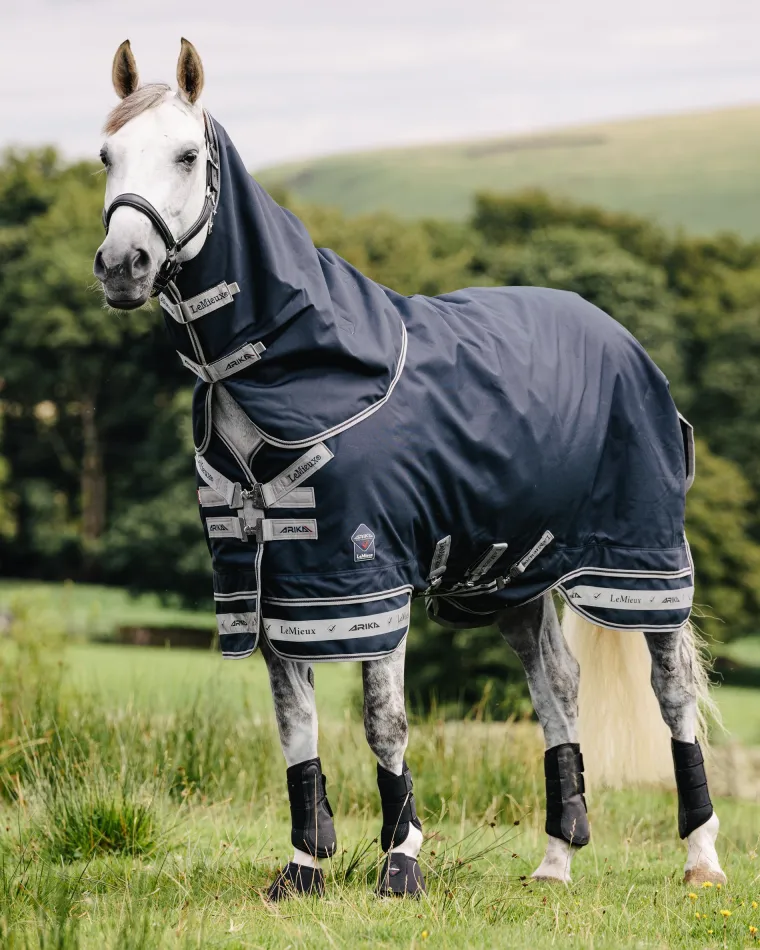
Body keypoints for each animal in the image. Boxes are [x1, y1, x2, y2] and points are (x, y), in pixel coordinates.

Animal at [93, 38, 726, 899]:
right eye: (107, 155)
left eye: (187, 155)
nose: (122, 264)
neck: (288, 368)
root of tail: (623, 338)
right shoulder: (275, 581)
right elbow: (296, 724)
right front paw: (302, 868)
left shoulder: (368, 573)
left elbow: (383, 721)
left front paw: (401, 861)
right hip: (517, 577)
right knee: (557, 686)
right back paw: (555, 861)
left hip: (643, 562)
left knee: (673, 692)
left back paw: (702, 857)